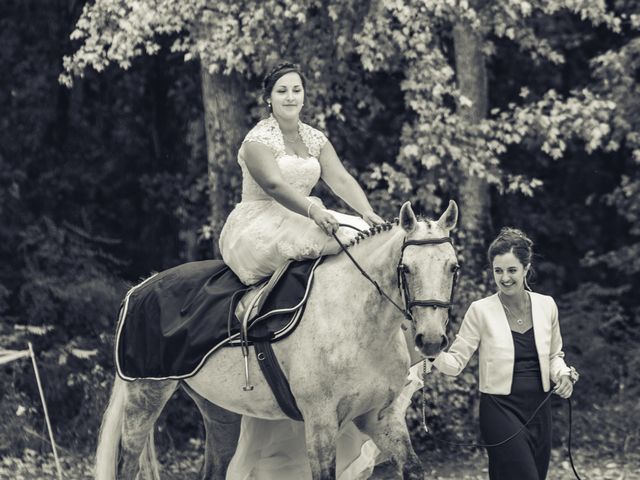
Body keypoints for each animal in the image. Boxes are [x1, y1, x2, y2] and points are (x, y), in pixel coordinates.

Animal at [95, 201, 458, 478]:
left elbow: (413, 467)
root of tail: (142, 286)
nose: (430, 339)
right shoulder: (320, 421)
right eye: (406, 268)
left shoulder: (380, 416)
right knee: (127, 465)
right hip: (145, 396)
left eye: (453, 267)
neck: (359, 322)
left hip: (218, 411)